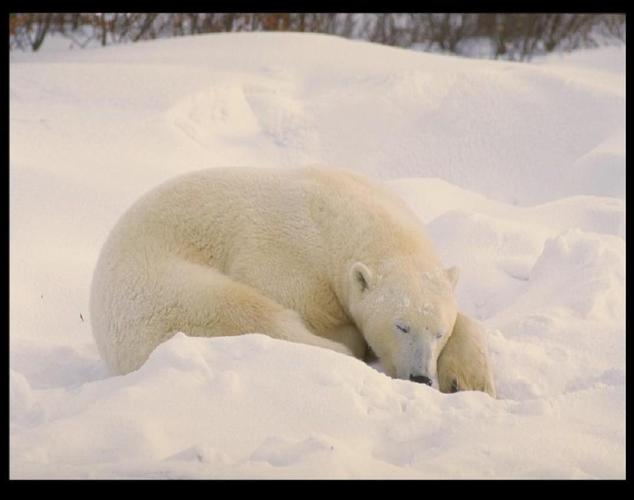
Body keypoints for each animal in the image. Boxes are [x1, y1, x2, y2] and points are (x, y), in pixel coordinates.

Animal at [89, 168, 494, 394]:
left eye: (438, 333)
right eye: (401, 326)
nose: (421, 378)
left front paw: (469, 379)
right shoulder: (286, 256)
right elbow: (297, 303)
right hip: (160, 290)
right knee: (243, 312)